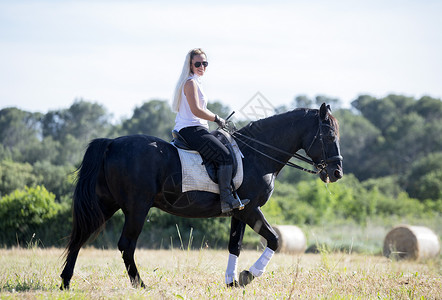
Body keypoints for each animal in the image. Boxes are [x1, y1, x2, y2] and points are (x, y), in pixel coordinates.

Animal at [59, 102, 342, 288]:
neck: (256, 155)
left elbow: (235, 245)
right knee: (125, 244)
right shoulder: (251, 209)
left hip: (107, 203)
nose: (337, 172)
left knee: (80, 236)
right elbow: (274, 239)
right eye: (329, 135)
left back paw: (66, 282)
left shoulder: (239, 211)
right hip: (137, 207)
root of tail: (111, 143)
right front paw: (248, 275)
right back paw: (140, 285)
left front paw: (231, 281)